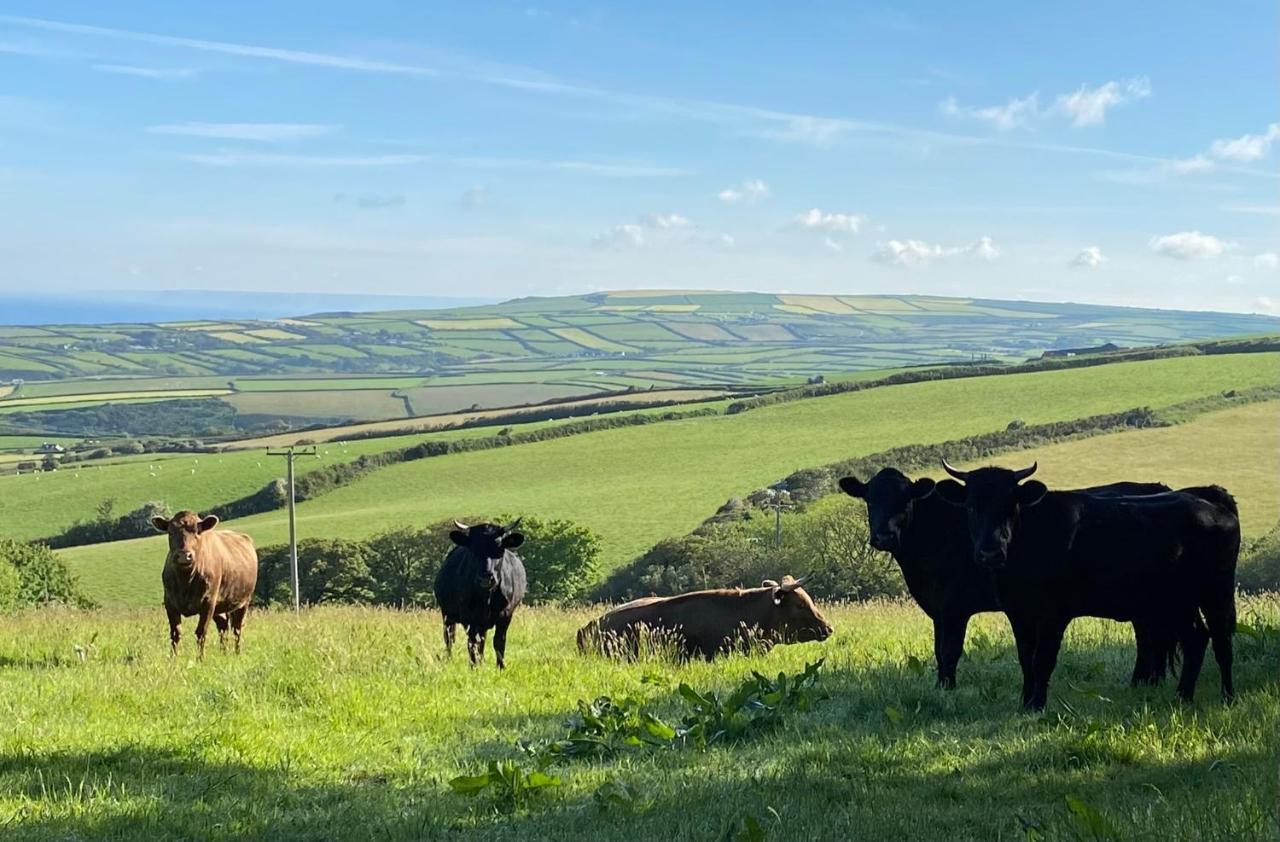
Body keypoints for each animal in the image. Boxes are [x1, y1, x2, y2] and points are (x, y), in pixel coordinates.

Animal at [152, 504, 257, 655]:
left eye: (198, 531)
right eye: (170, 532)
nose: (184, 556)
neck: (185, 581)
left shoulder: (208, 602)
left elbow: (201, 632)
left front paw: (200, 658)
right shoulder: (170, 602)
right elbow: (175, 634)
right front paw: (172, 658)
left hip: (243, 601)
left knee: (237, 628)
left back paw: (237, 653)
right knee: (223, 626)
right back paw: (223, 653)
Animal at [432, 514, 527, 665]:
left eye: (500, 549)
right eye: (473, 549)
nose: (486, 577)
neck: (486, 597)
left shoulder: (505, 615)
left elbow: (499, 642)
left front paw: (501, 666)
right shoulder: (469, 618)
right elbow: (472, 643)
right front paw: (474, 666)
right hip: (447, 614)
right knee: (449, 637)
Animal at [834, 468, 1172, 685]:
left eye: (905, 500)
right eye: (870, 499)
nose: (883, 536)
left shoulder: (954, 607)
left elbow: (949, 651)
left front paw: (947, 690)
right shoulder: (939, 610)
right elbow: (939, 652)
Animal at [936, 458, 1244, 706]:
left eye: (1010, 507)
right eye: (971, 507)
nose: (990, 553)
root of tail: (1214, 501)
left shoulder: (1054, 613)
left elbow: (1043, 658)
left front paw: (1037, 705)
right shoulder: (1018, 612)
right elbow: (1026, 658)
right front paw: (1025, 702)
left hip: (1214, 594)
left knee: (1220, 641)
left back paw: (1226, 697)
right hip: (1178, 602)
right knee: (1197, 638)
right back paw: (1184, 697)